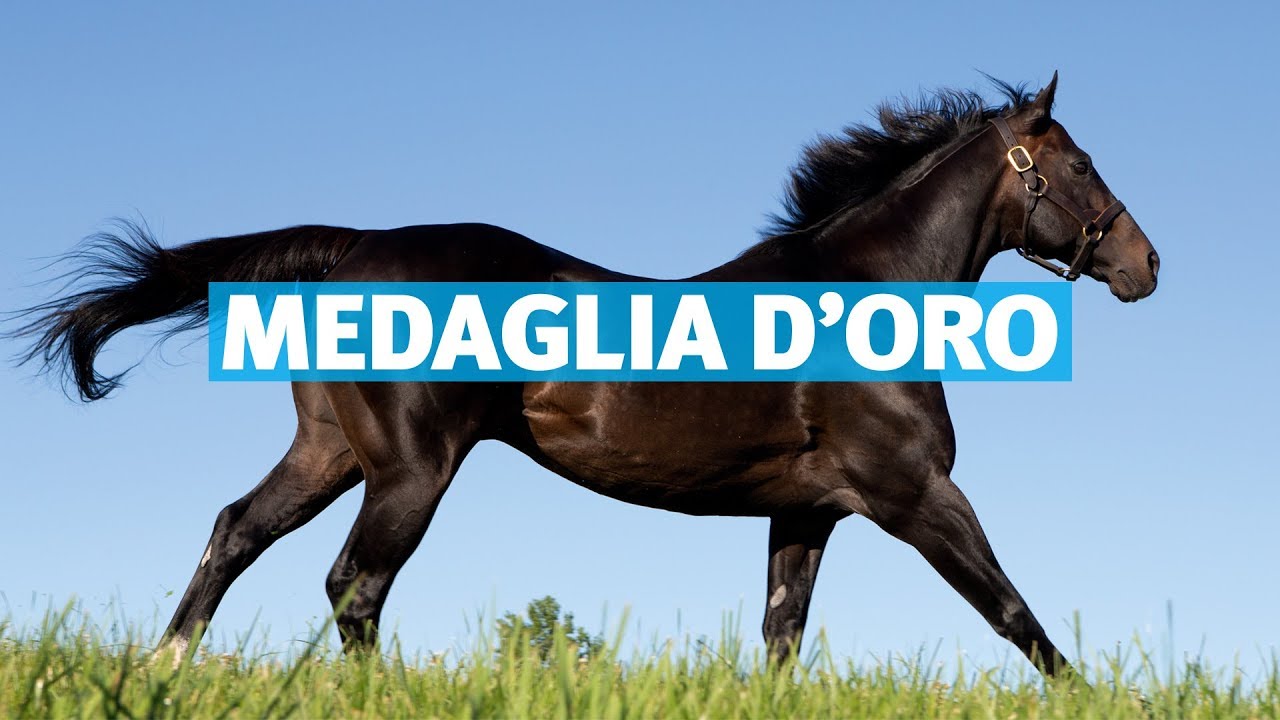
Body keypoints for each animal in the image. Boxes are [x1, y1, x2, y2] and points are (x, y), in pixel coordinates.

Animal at [12, 74, 1159, 675]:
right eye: (1079, 165)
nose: (1145, 265)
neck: (858, 294)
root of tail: (353, 249)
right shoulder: (914, 493)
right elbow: (1013, 612)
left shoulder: (805, 513)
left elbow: (781, 638)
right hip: (411, 469)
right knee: (352, 584)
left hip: (332, 450)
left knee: (237, 532)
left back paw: (165, 665)